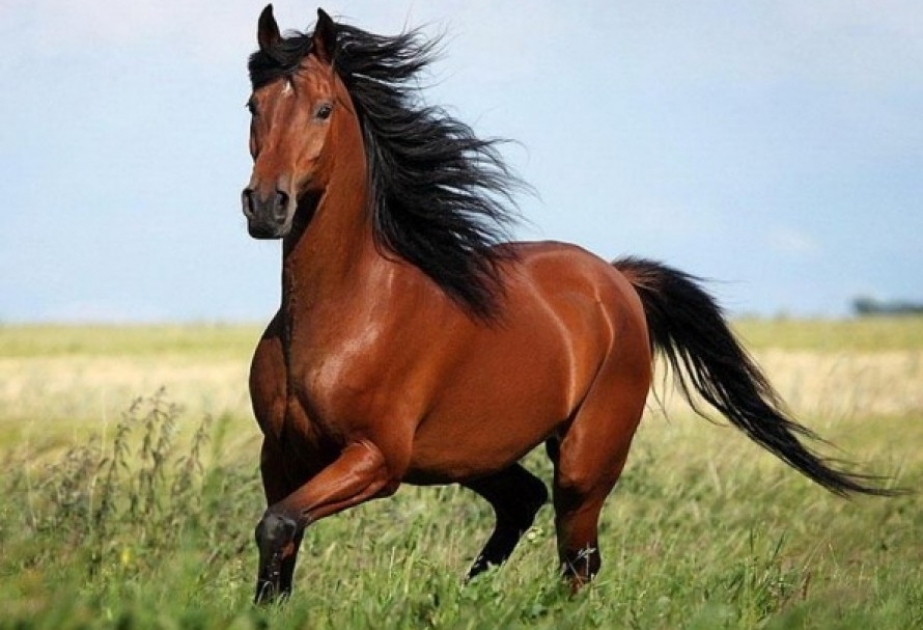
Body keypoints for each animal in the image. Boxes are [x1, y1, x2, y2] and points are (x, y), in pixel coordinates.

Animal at [241, 5, 895, 604]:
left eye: (324, 110)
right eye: (254, 107)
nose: (266, 206)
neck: (347, 313)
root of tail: (616, 279)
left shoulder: (377, 458)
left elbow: (277, 526)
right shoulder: (283, 455)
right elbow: (280, 549)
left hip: (585, 459)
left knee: (577, 558)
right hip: (478, 454)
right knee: (527, 505)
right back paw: (468, 592)